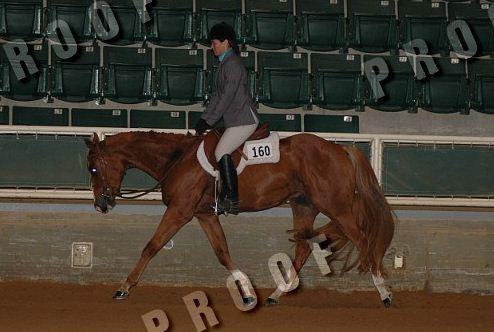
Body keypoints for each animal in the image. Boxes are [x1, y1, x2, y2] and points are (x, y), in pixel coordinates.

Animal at [84, 128, 394, 308]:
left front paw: (124, 288)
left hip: (336, 206)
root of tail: (340, 148)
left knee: (364, 240)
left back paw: (384, 292)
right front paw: (246, 291)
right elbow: (223, 252)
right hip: (304, 206)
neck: (178, 158)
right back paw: (277, 294)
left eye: (94, 169)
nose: (100, 206)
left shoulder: (180, 211)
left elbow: (151, 246)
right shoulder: (204, 215)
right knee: (304, 247)